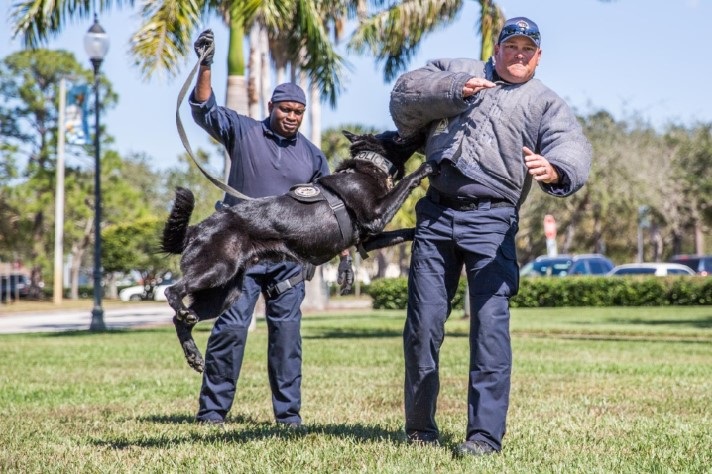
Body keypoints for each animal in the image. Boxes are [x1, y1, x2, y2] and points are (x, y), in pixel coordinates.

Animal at [160, 131, 434, 372]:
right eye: (397, 135)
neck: (370, 165)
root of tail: (195, 228)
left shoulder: (371, 237)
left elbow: (406, 231)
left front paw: (420, 230)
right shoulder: (376, 215)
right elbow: (407, 183)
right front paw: (426, 167)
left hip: (224, 295)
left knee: (180, 321)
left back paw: (194, 354)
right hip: (217, 270)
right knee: (171, 290)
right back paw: (181, 311)